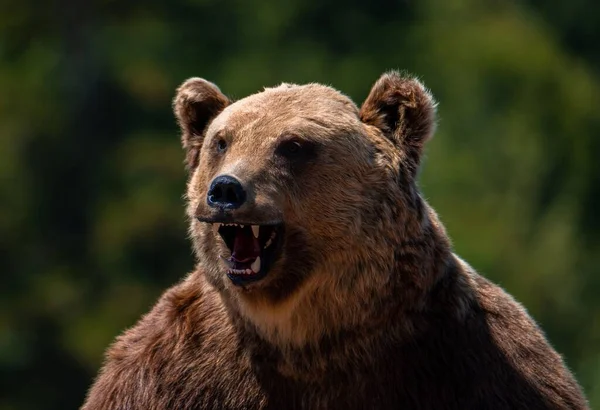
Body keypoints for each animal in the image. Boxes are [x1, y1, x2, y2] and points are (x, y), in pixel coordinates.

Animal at [82, 72, 588, 408]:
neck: (309, 335)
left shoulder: (469, 358)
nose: (225, 190)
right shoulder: (177, 368)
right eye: (221, 141)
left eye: (293, 145)